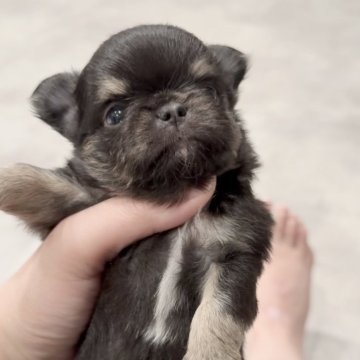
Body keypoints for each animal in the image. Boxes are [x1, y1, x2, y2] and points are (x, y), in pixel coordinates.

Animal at [0, 23, 270, 358]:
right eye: (115, 114)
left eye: (210, 90)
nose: (172, 109)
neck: (173, 187)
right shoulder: (84, 200)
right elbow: (39, 181)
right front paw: (5, 178)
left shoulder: (236, 249)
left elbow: (217, 314)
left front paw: (208, 352)